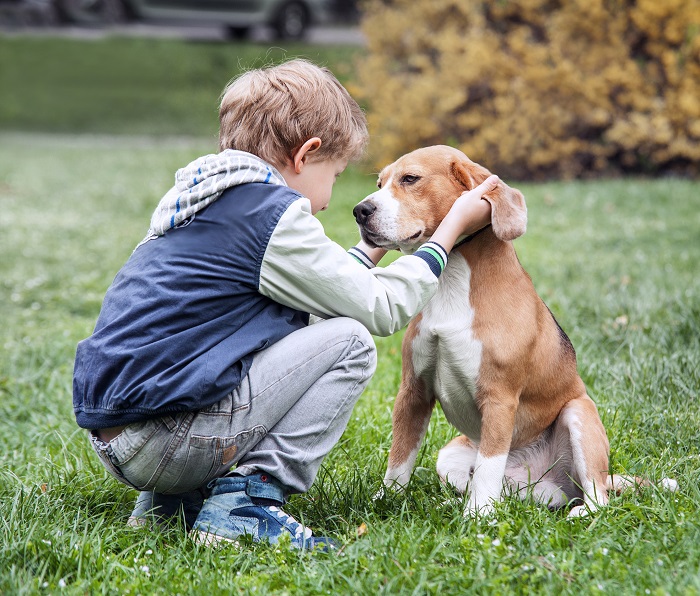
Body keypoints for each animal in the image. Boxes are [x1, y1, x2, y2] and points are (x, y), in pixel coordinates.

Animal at [352, 146, 676, 516]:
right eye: (379, 184)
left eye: (410, 179)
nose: (360, 211)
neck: (451, 279)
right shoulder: (413, 392)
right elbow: (400, 459)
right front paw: (385, 501)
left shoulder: (499, 398)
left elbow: (489, 464)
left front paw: (478, 518)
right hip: (450, 455)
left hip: (579, 414)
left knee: (598, 499)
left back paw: (577, 511)